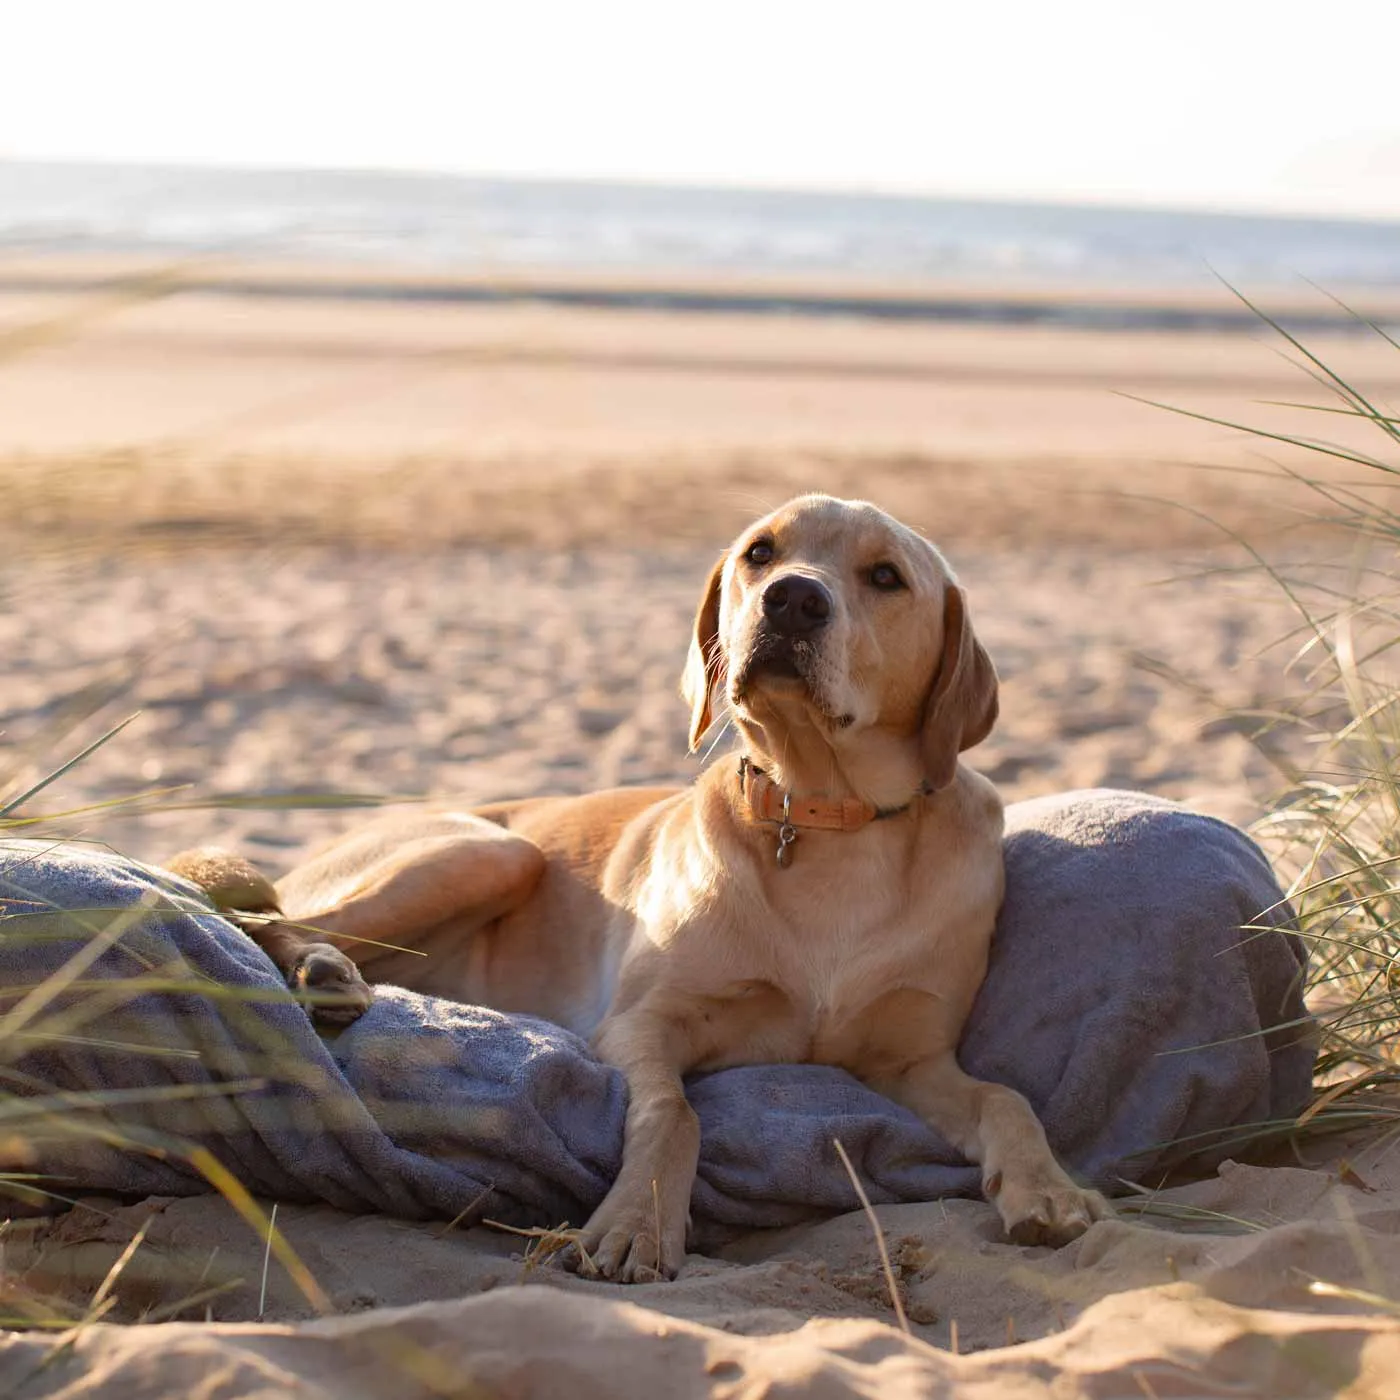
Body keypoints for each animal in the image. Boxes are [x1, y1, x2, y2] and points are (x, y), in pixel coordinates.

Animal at [169, 492, 1108, 1282]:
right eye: (760, 553)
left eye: (885, 577)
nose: (792, 602)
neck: (827, 815)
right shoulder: (641, 1025)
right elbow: (671, 1114)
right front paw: (638, 1225)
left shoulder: (911, 1059)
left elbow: (1006, 1098)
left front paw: (1048, 1188)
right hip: (488, 849)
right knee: (252, 915)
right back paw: (321, 971)